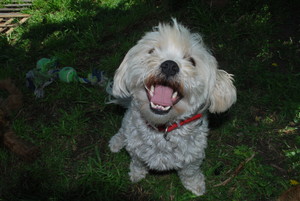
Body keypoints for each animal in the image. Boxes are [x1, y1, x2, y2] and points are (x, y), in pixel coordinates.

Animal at [108, 18, 237, 195]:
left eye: (192, 61)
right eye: (152, 51)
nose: (169, 65)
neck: (163, 128)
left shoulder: (193, 157)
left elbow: (190, 173)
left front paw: (195, 186)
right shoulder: (136, 151)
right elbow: (137, 163)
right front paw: (136, 175)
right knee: (122, 131)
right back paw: (116, 142)